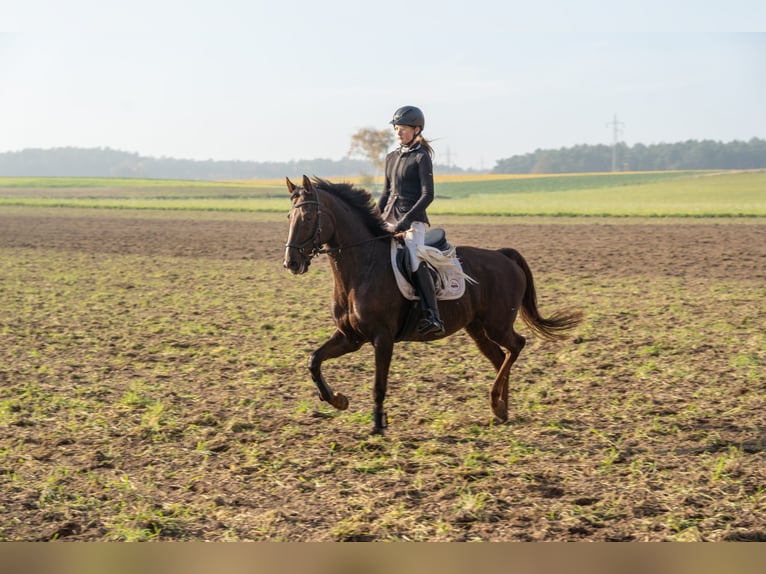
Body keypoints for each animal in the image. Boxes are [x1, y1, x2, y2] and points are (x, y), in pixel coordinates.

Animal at [284, 176, 584, 436]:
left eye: (307, 217)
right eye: (289, 217)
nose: (291, 262)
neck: (362, 268)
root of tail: (502, 255)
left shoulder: (382, 338)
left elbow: (378, 384)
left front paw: (378, 426)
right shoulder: (350, 337)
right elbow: (314, 360)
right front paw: (337, 399)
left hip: (497, 324)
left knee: (517, 346)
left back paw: (496, 401)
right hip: (477, 329)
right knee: (501, 357)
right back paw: (501, 410)